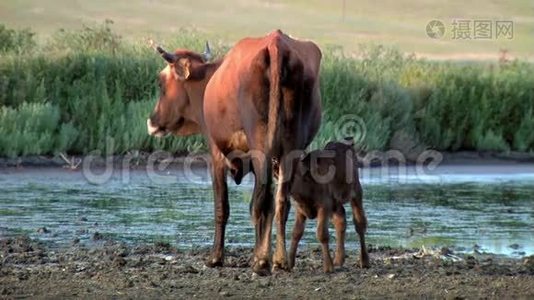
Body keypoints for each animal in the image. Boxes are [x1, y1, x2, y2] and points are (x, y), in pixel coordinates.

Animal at [147, 29, 322, 274]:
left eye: (161, 83)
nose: (151, 122)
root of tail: (275, 42)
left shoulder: (216, 156)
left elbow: (223, 206)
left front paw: (216, 257)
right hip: (290, 149)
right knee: (279, 202)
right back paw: (279, 260)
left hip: (261, 148)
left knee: (262, 202)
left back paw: (261, 262)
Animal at [288, 139, 368, 274]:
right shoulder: (299, 210)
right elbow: (296, 232)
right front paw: (288, 262)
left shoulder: (324, 206)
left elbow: (322, 234)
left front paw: (328, 267)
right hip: (336, 203)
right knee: (340, 220)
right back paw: (339, 259)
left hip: (356, 191)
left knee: (359, 223)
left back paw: (364, 260)